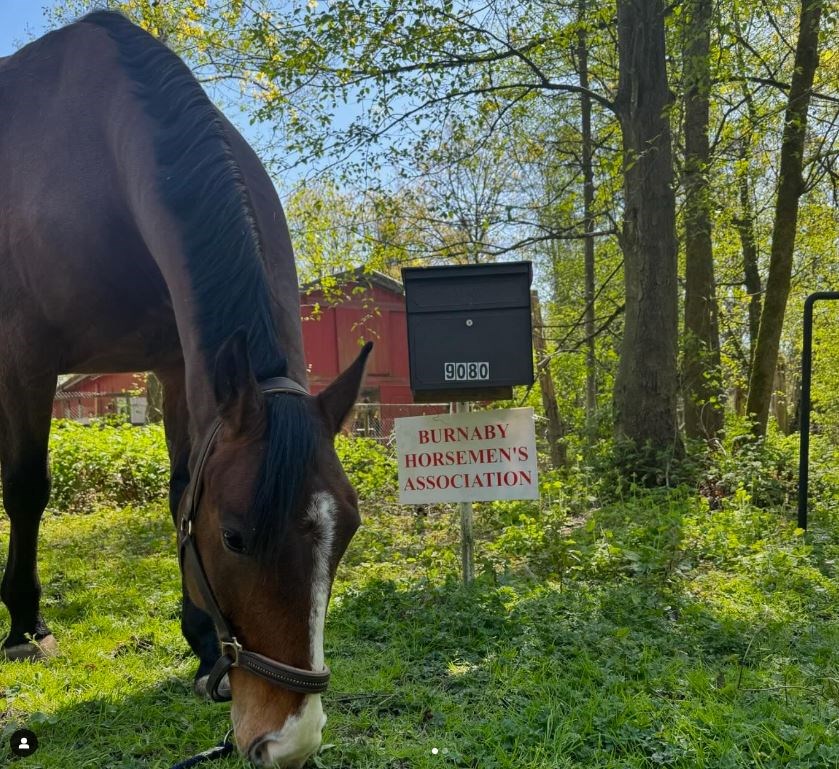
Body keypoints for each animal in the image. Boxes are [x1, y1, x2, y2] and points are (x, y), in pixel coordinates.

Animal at [0, 12, 370, 768]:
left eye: (347, 528)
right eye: (235, 537)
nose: (288, 741)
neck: (91, 157)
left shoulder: (177, 364)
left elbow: (178, 488)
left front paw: (202, 649)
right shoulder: (27, 356)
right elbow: (26, 488)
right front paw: (24, 625)